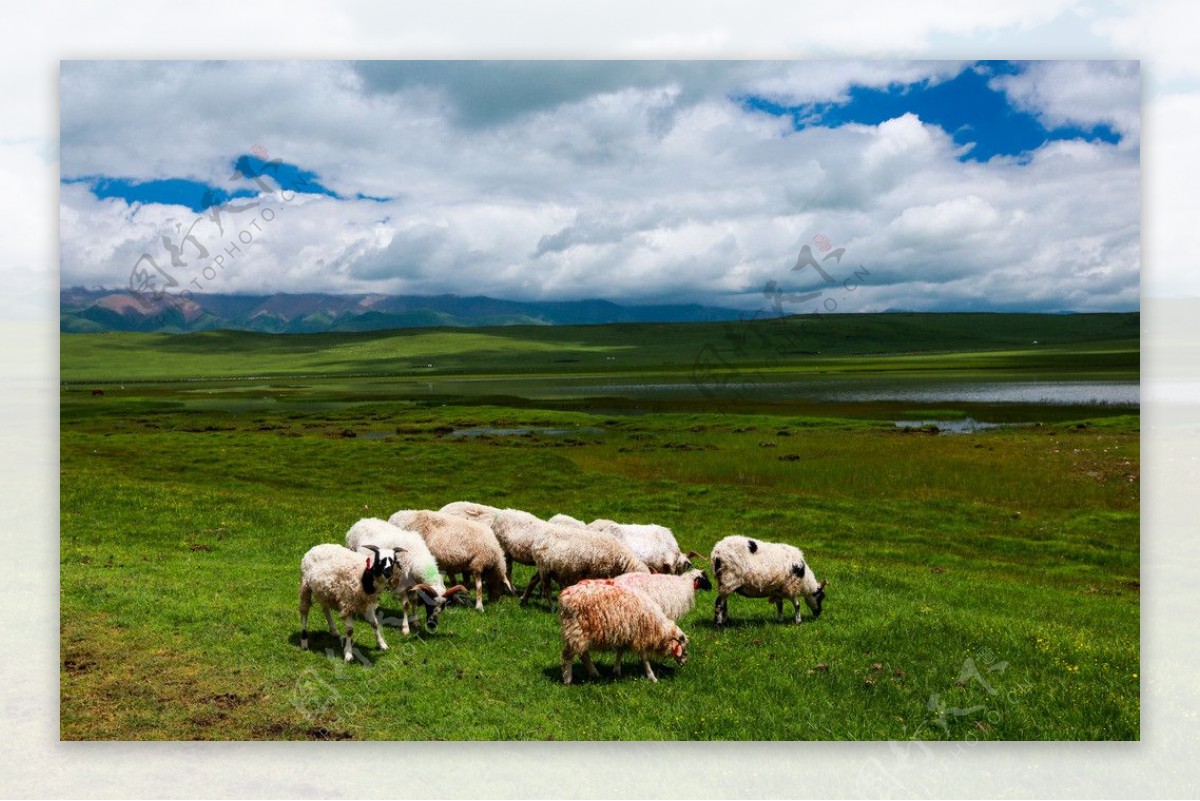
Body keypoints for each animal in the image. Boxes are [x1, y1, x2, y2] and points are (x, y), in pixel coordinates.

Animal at [556, 577, 691, 685]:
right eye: (682, 647)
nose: (685, 663)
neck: (657, 628)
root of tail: (564, 596)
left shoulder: (625, 633)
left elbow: (620, 652)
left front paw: (617, 670)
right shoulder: (640, 635)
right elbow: (645, 658)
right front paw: (652, 677)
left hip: (581, 634)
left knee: (583, 654)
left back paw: (594, 673)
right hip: (576, 631)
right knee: (568, 655)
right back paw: (568, 680)